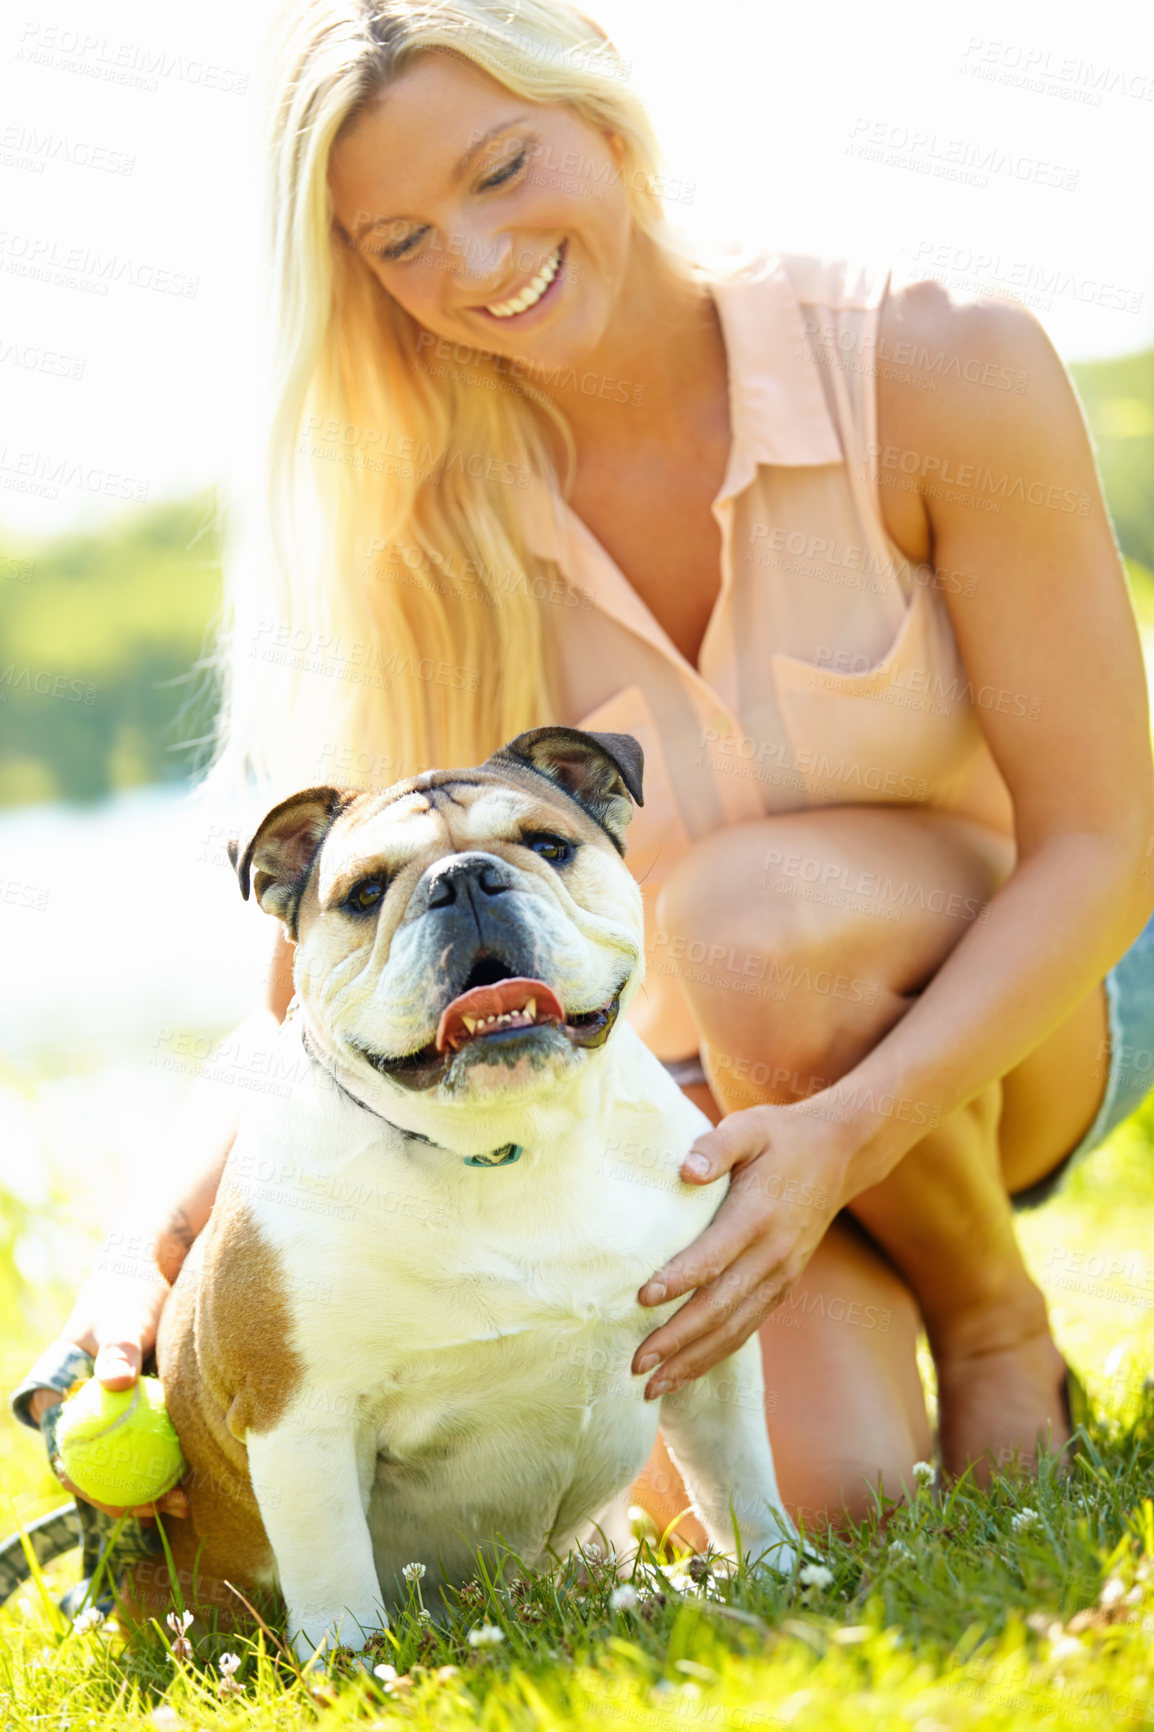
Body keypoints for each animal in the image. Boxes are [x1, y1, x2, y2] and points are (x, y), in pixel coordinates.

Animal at [148, 723, 797, 1655]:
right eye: (365, 892)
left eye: (548, 846)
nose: (462, 879)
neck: (518, 1144)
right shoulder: (303, 1420)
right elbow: (334, 1570)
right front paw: (354, 1666)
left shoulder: (708, 1355)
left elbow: (738, 1480)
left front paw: (781, 1574)